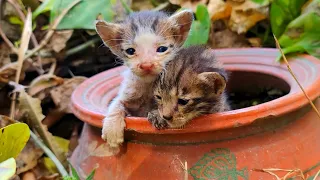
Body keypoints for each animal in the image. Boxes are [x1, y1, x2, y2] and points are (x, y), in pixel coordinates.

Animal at [95, 10, 194, 148]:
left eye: (162, 49)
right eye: (130, 51)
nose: (146, 65)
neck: (148, 86)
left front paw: (157, 114)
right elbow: (116, 103)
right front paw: (112, 129)